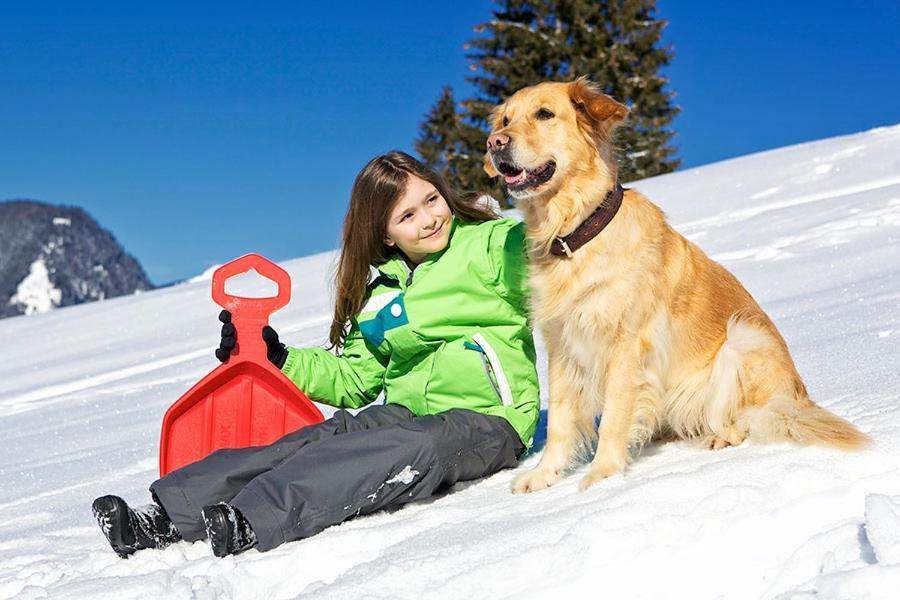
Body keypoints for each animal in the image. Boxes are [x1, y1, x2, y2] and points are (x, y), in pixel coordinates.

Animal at [486, 79, 872, 492]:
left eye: (544, 114)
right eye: (505, 119)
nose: (494, 142)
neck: (575, 233)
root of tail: (799, 398)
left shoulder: (626, 346)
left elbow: (613, 418)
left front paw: (603, 476)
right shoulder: (562, 344)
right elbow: (560, 419)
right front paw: (545, 474)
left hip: (743, 339)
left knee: (754, 417)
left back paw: (722, 435)